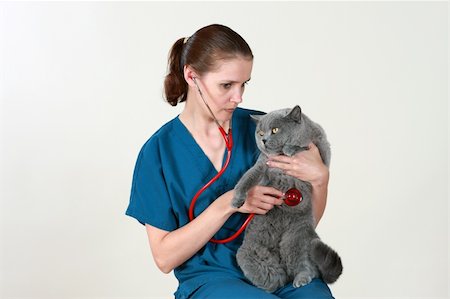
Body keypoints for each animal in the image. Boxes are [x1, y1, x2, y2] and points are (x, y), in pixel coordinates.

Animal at [234, 105, 342, 292]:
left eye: (275, 130)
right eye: (260, 133)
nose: (264, 140)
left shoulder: (323, 152)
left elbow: (304, 147)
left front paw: (290, 149)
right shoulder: (261, 165)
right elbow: (247, 179)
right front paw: (237, 199)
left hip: (296, 237)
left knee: (307, 268)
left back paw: (301, 279)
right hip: (248, 251)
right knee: (277, 278)